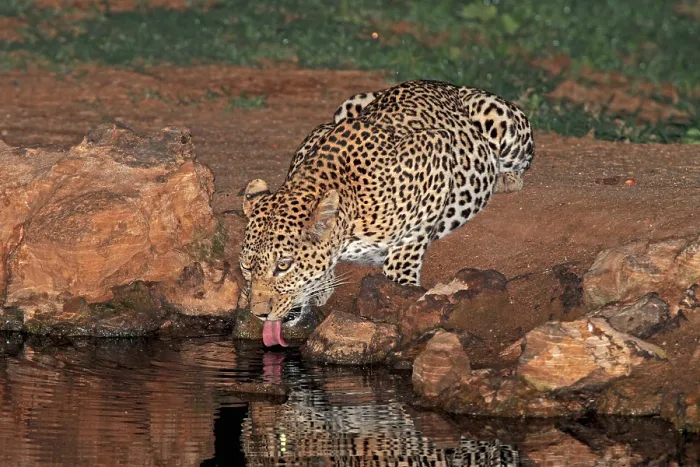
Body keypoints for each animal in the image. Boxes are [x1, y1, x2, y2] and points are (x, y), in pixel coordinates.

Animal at [238, 80, 534, 346]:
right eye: (246, 267)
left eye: (283, 266)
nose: (260, 314)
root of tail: (449, 85)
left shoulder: (436, 149)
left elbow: (408, 244)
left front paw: (401, 285)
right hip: (349, 103)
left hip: (501, 121)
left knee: (520, 164)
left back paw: (504, 179)